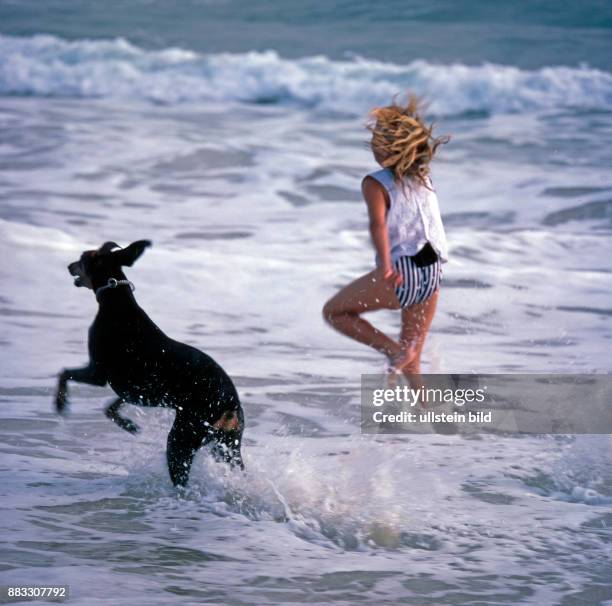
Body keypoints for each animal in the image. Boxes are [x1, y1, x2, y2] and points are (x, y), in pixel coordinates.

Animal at [55, 240, 245, 486]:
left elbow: (64, 373)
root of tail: (230, 404)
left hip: (182, 438)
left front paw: (60, 403)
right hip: (228, 446)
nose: (69, 265)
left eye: (82, 258)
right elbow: (111, 407)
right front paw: (130, 425)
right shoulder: (137, 390)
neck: (116, 300)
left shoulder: (98, 373)